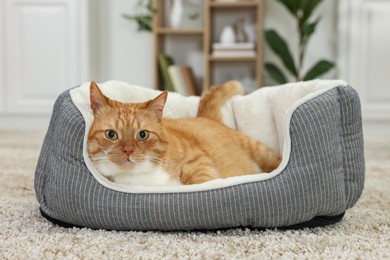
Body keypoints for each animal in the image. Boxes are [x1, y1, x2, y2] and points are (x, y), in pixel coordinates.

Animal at [87, 81, 282, 185]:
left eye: (143, 135)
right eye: (111, 135)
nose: (128, 150)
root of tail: (204, 116)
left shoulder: (198, 160)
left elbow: (200, 180)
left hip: (260, 151)